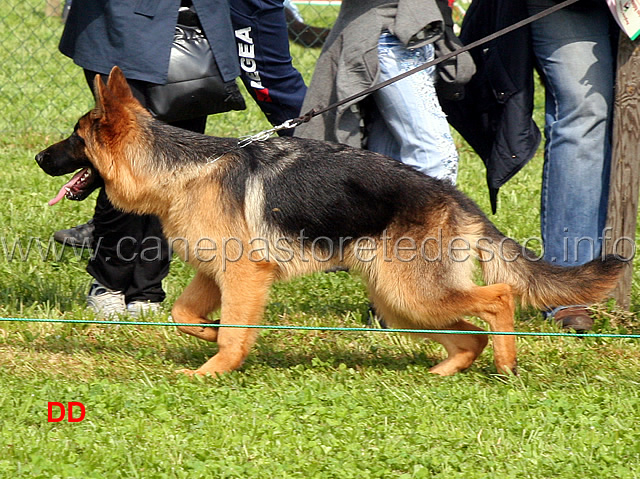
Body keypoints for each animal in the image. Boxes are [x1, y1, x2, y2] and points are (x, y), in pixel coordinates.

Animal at [36, 65, 624, 376]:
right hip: (400, 301)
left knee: (499, 297)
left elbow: (232, 332)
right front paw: (206, 334)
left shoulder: (245, 275)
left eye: (74, 139)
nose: (39, 158)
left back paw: (505, 364)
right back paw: (444, 372)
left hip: (409, 291)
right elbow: (185, 313)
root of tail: (457, 199)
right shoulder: (213, 273)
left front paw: (214, 369)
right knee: (467, 335)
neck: (180, 168)